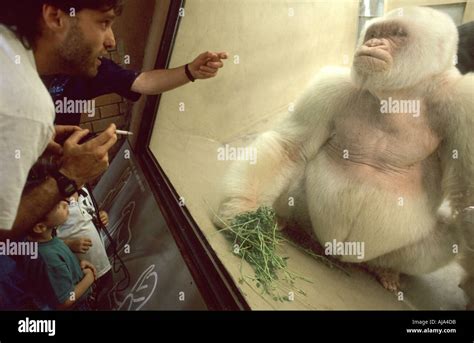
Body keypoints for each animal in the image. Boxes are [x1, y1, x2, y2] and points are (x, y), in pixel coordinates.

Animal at [218, 6, 474, 306]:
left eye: (397, 33)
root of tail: (338, 255)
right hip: (309, 220)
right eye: (374, 33)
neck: (401, 95)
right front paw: (243, 215)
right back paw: (284, 222)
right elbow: (290, 148)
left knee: (455, 231)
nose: (372, 44)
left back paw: (386, 269)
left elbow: (467, 197)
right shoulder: (331, 86)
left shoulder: (464, 106)